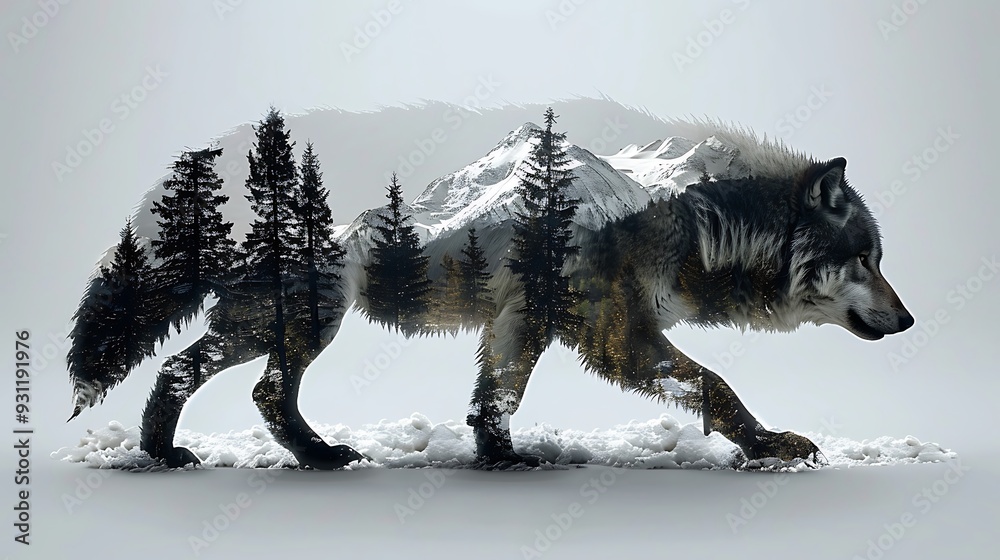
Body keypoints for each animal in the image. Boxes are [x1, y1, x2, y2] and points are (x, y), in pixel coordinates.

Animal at [66, 118, 912, 469]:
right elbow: (718, 386)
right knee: (228, 381)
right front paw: (770, 448)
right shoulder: (614, 337)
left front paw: (501, 457)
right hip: (303, 324)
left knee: (234, 384)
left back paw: (221, 453)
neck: (691, 219)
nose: (908, 320)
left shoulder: (524, 323)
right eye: (865, 258)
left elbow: (493, 399)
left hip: (286, 330)